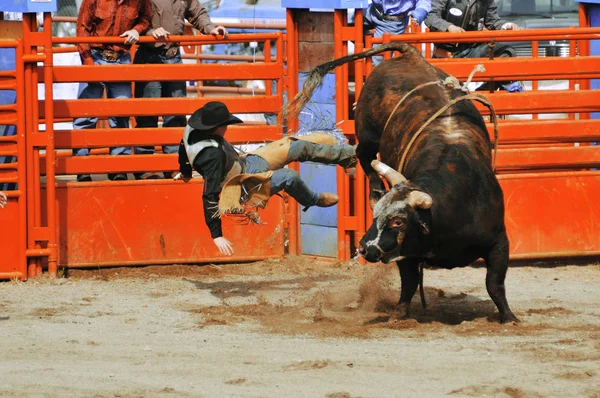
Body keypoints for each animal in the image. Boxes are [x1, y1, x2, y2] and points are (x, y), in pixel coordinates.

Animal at [288, 42, 516, 324]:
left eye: (398, 222)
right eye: (375, 217)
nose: (364, 248)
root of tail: (410, 54)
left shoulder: (499, 243)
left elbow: (494, 283)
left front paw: (509, 316)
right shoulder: (404, 252)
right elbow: (409, 281)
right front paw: (399, 314)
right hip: (368, 133)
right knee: (363, 155)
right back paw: (375, 189)